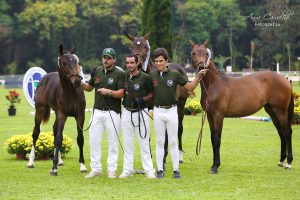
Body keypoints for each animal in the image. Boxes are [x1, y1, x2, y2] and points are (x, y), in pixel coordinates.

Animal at [27, 45, 87, 175]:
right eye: (64, 63)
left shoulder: (80, 115)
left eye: (76, 61)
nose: (77, 81)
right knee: (36, 132)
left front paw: (82, 166)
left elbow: (79, 138)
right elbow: (59, 138)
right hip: (40, 110)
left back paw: (59, 161)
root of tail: (45, 78)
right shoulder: (62, 114)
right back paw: (31, 162)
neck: (70, 93)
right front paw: (53, 168)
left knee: (54, 130)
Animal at [125, 32, 189, 165]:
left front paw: (163, 156)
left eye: (145, 46)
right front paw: (149, 155)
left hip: (180, 106)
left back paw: (179, 157)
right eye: (131, 46)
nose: (138, 63)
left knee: (179, 129)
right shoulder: (146, 106)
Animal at [190, 39, 292, 173]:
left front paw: (216, 166)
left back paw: (288, 163)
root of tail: (285, 79)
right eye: (193, 53)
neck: (214, 84)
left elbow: (217, 140)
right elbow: (212, 139)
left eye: (206, 54)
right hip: (272, 111)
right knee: (281, 133)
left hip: (280, 111)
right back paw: (281, 161)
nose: (202, 67)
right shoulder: (210, 116)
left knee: (287, 132)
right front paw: (213, 165)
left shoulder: (218, 116)